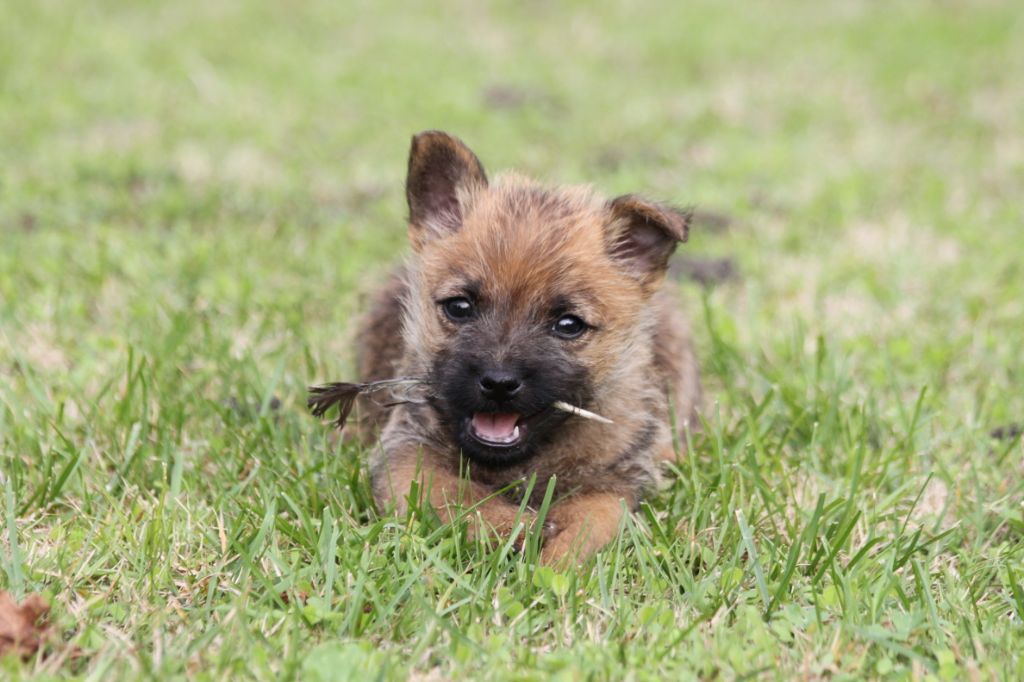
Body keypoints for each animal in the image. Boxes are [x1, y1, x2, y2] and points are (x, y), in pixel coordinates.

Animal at [354, 131, 700, 565]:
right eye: (459, 307)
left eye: (569, 325)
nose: (499, 382)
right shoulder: (406, 454)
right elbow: (457, 497)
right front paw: (514, 527)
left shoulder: (614, 482)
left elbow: (591, 521)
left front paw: (555, 563)